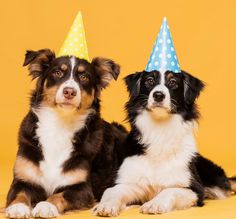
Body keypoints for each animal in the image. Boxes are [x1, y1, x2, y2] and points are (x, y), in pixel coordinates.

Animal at [5, 48, 127, 218]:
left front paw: (46, 206)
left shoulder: (82, 189)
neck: (60, 124)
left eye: (84, 77)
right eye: (57, 72)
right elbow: (19, 194)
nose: (69, 91)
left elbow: (59, 195)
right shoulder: (22, 179)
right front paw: (18, 207)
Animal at [94, 69, 236, 216]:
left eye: (173, 82)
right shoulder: (130, 182)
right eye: (149, 80)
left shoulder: (194, 189)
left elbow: (170, 190)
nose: (158, 95)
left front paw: (154, 204)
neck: (160, 131)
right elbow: (111, 191)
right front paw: (106, 205)